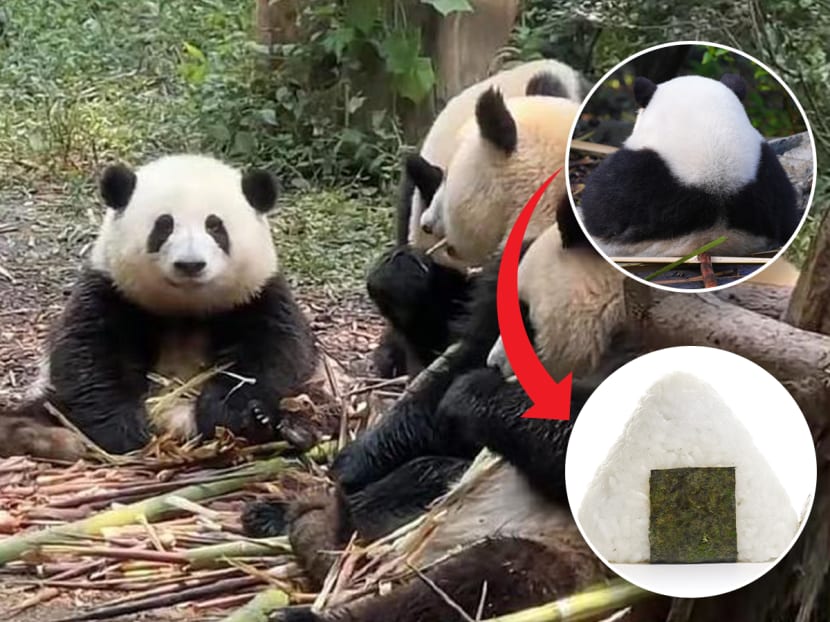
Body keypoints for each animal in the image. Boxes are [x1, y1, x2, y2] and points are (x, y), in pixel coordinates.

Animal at [1, 154, 322, 460]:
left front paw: (233, 414)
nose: (190, 264)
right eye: (164, 225)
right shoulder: (110, 290)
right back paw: (41, 437)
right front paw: (125, 430)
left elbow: (275, 354)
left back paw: (284, 428)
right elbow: (86, 355)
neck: (186, 310)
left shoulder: (257, 295)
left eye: (215, 226)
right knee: (42, 411)